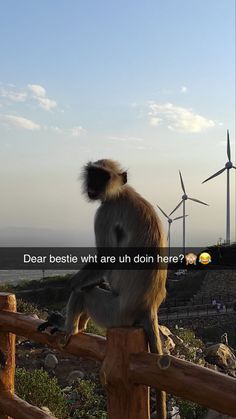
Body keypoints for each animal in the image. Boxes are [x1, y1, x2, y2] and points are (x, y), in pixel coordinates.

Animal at [38, 160, 167, 419]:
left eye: (102, 176)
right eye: (93, 174)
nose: (93, 186)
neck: (120, 192)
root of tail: (149, 307)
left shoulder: (105, 213)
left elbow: (104, 260)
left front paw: (69, 286)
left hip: (114, 313)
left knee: (85, 293)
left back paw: (70, 328)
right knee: (91, 289)